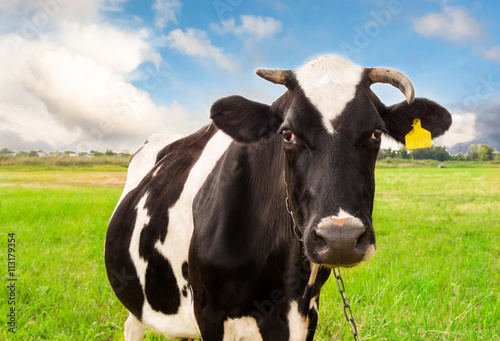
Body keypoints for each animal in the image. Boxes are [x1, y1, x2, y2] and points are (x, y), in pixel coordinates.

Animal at [103, 55, 452, 340]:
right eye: (287, 133)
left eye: (376, 132)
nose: (340, 238)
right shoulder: (208, 313)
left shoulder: (307, 311)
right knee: (132, 326)